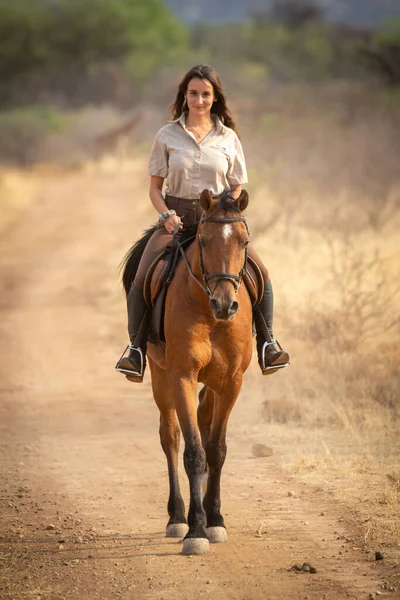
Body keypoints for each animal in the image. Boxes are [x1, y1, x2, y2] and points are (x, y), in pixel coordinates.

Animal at [122, 190, 253, 556]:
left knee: (205, 427)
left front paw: (216, 520)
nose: (225, 304)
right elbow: (194, 452)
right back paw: (177, 517)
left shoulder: (231, 382)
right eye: (204, 241)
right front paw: (196, 530)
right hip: (160, 375)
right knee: (171, 438)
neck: (209, 314)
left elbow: (216, 449)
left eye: (244, 241)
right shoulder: (182, 376)